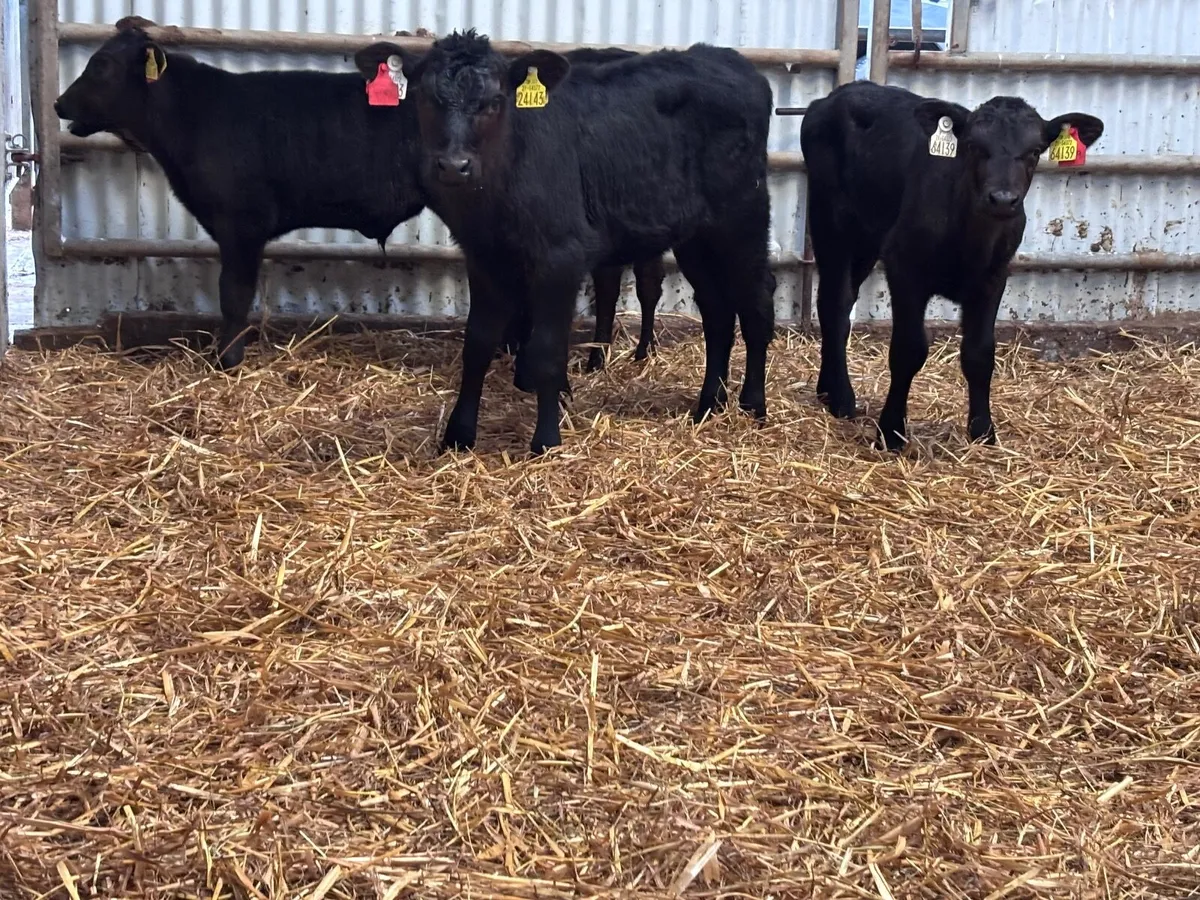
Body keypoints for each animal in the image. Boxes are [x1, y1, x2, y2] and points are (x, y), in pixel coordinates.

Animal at [366, 29, 775, 454]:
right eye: (424, 98)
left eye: (494, 102)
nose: (453, 165)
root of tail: (732, 62)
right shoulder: (484, 258)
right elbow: (477, 343)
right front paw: (458, 435)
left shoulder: (560, 257)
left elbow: (547, 351)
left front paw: (546, 439)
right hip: (696, 235)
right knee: (717, 312)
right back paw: (709, 404)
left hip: (743, 217)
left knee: (756, 301)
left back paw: (753, 404)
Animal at [800, 81, 1103, 450]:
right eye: (973, 145)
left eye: (1034, 151)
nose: (1002, 199)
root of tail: (838, 94)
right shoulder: (905, 268)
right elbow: (908, 349)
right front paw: (891, 431)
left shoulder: (994, 278)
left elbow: (980, 352)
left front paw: (983, 430)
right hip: (831, 222)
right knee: (834, 302)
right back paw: (842, 397)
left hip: (867, 238)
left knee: (841, 305)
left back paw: (828, 390)